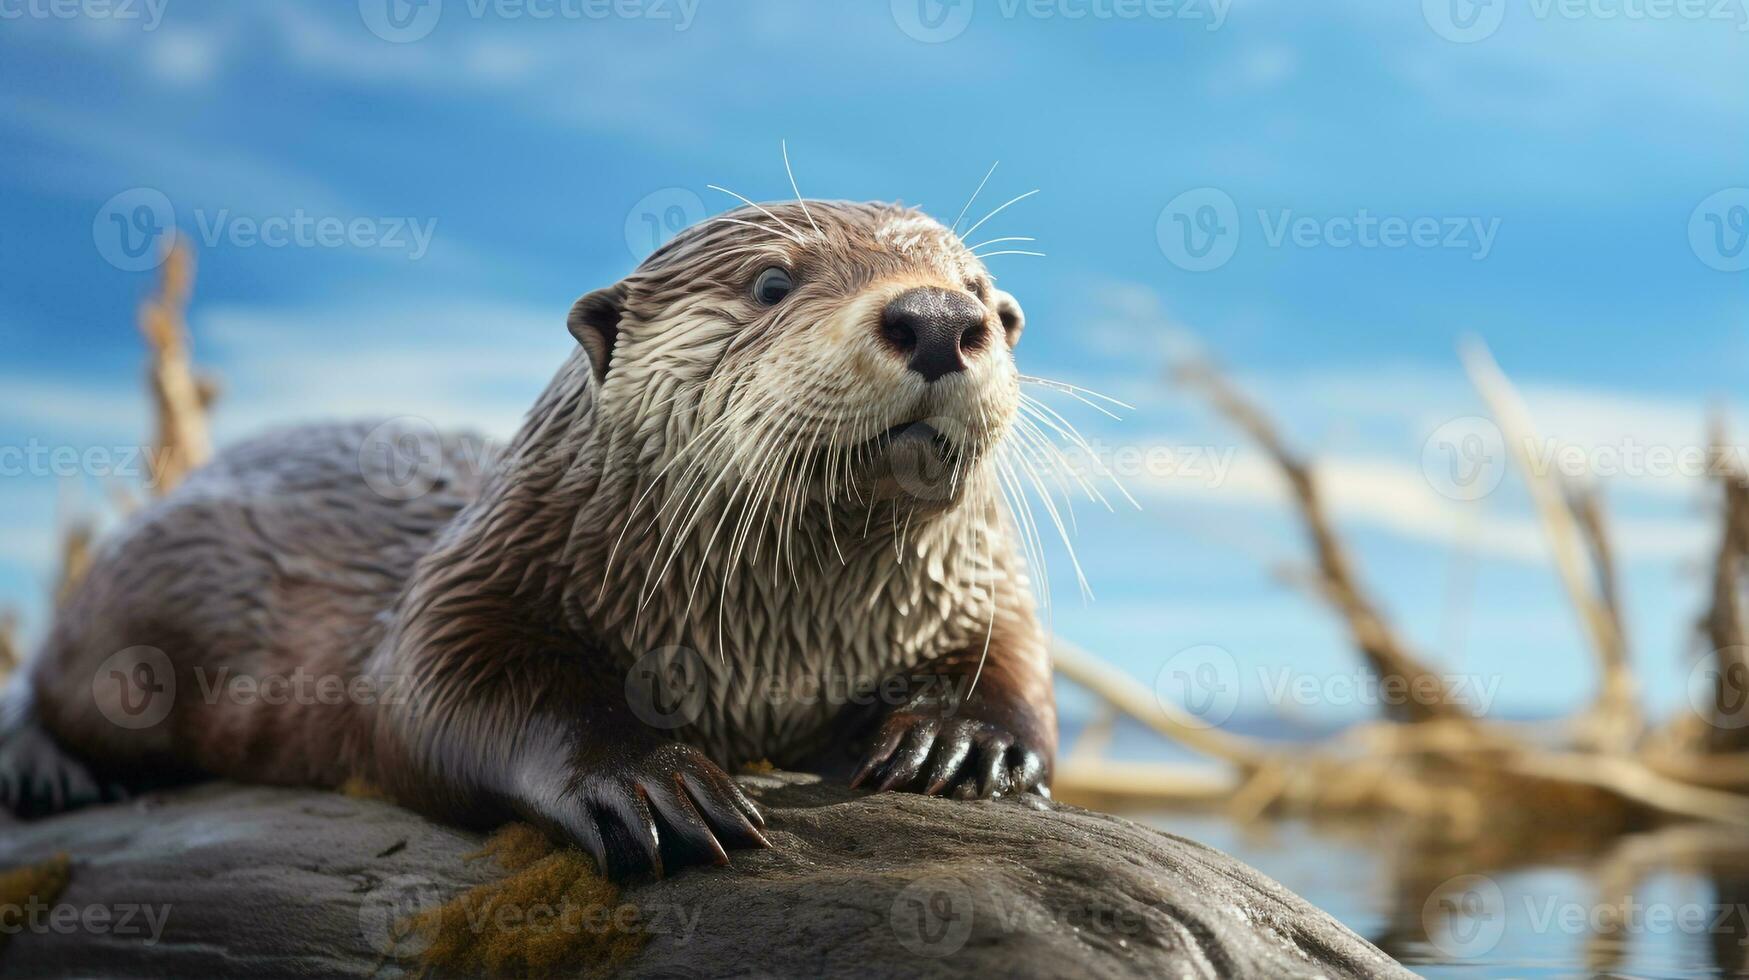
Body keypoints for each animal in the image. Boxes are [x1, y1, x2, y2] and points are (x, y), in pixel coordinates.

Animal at [0, 201, 1049, 882]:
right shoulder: (474, 577)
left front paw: (960, 744)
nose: (939, 318)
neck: (770, 654)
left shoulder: (977, 587)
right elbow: (437, 694)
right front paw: (649, 782)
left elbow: (1010, 670)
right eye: (771, 282)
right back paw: (45, 771)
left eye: (978, 292)